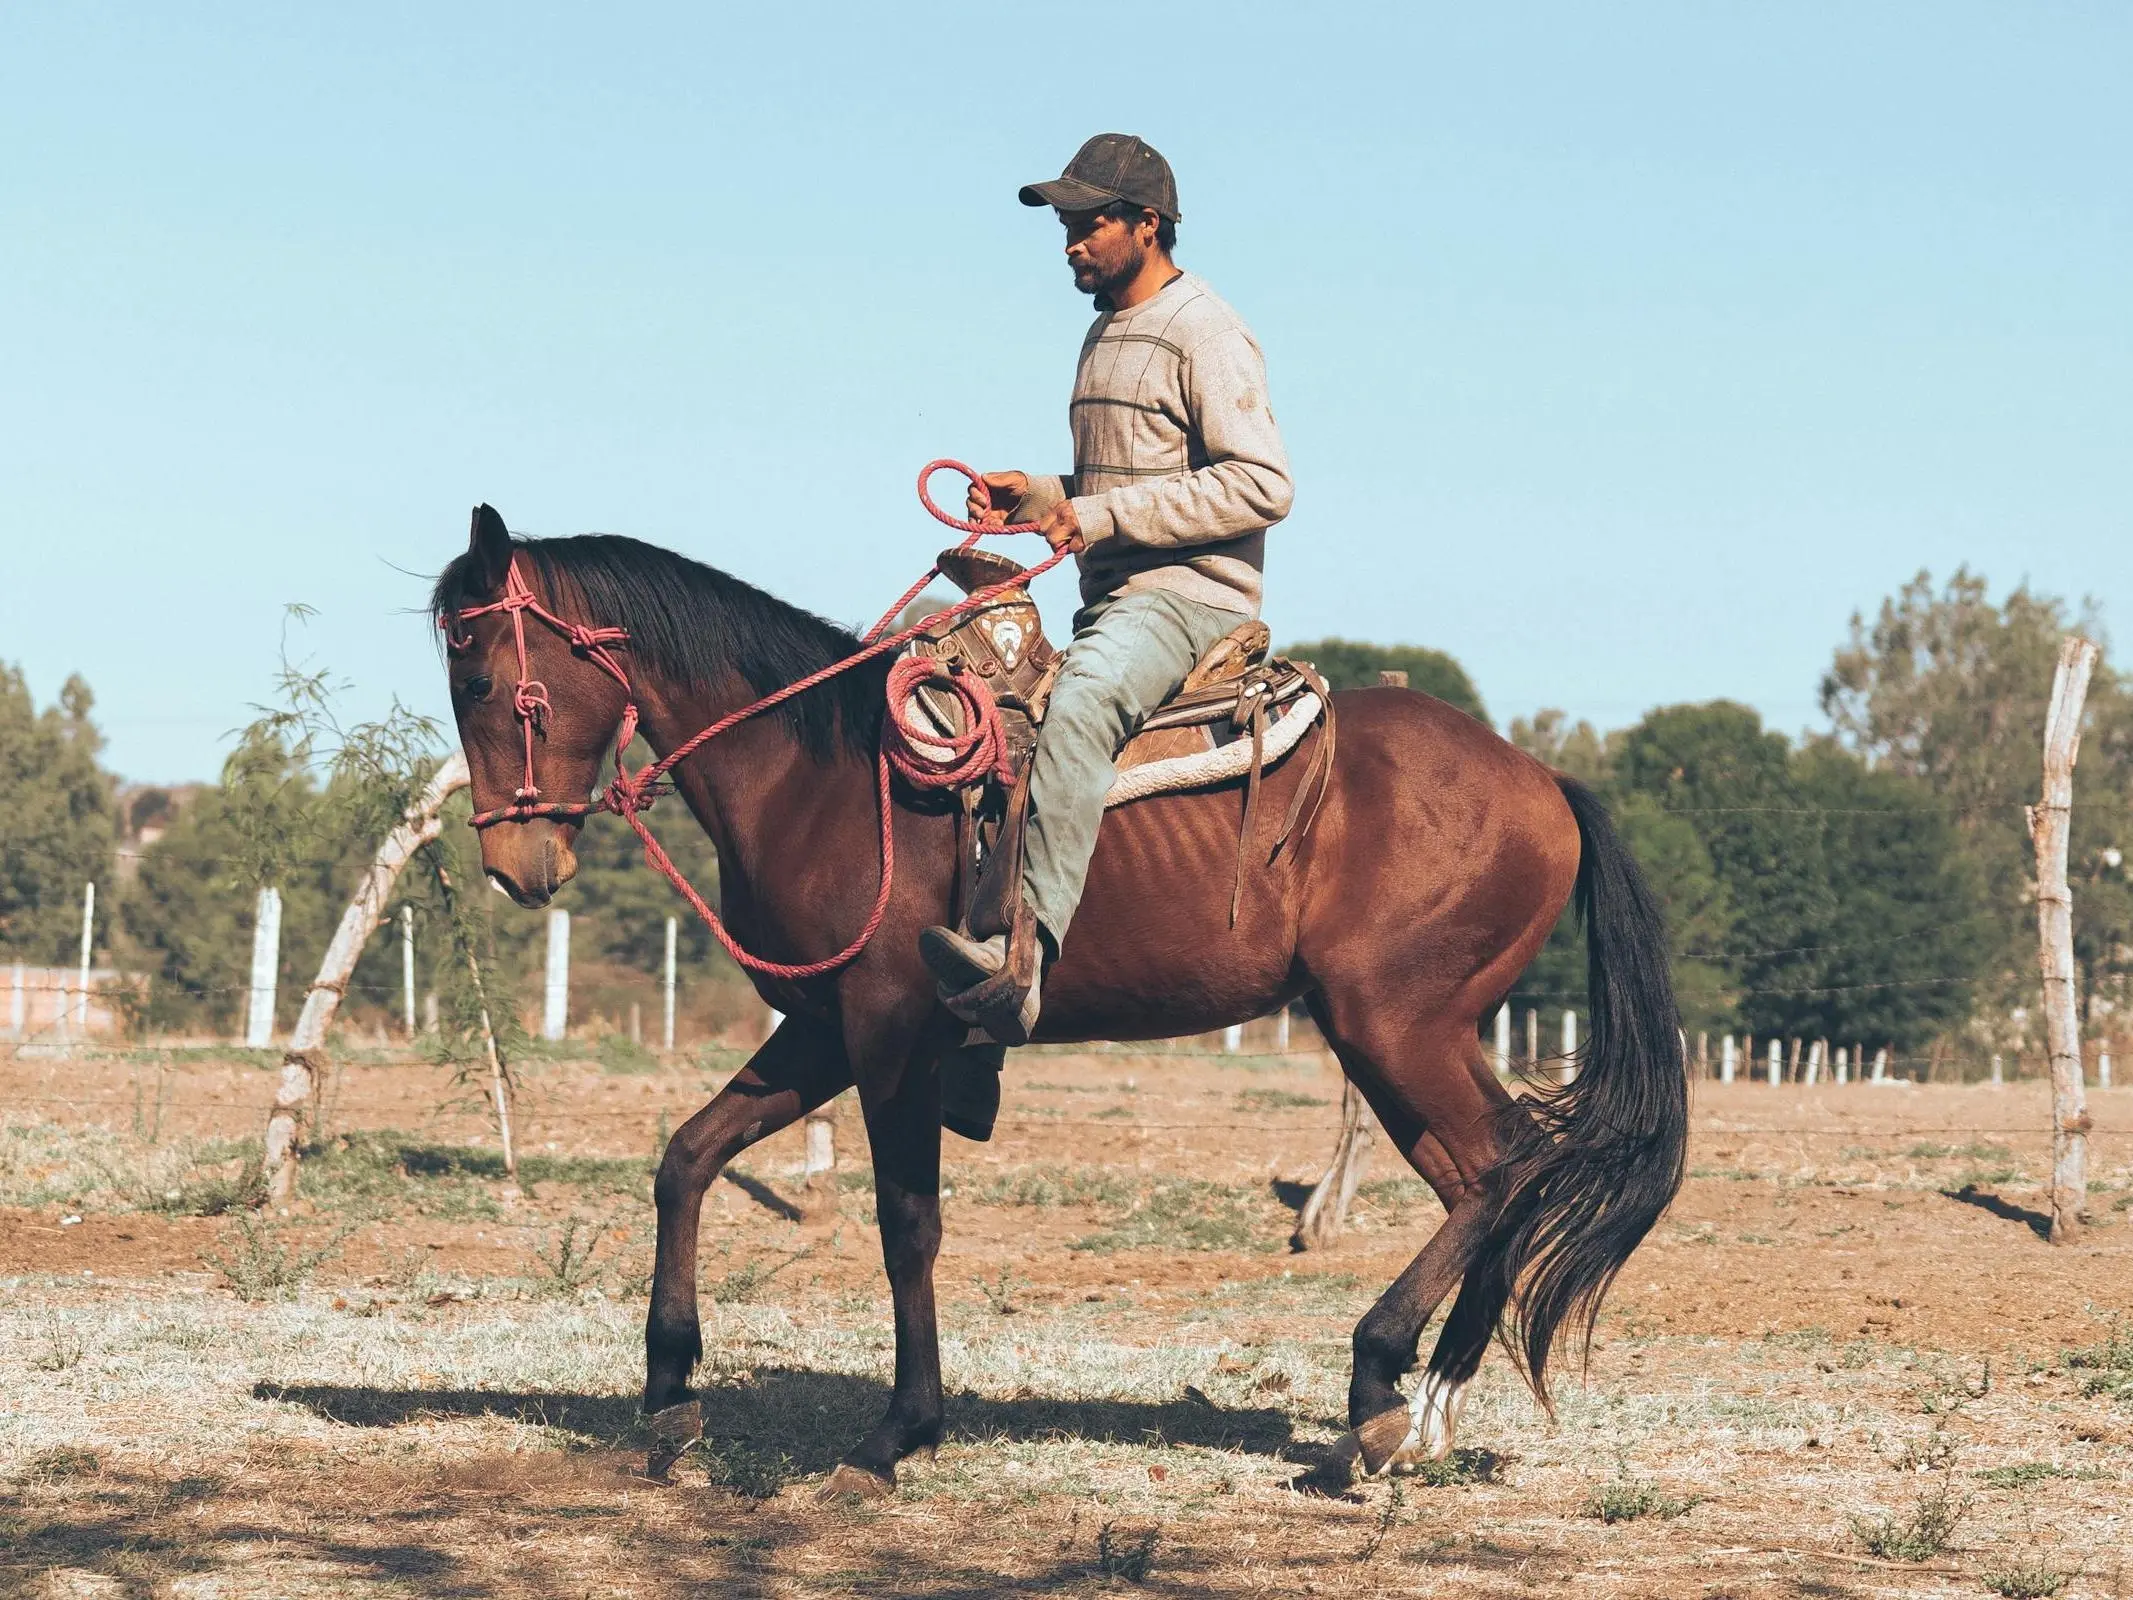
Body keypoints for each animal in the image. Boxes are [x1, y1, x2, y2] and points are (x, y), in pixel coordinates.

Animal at [432, 507, 1689, 1501]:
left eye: (481, 678)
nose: (517, 866)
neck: (823, 774)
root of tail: (1546, 781)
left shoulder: (891, 1029)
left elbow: (906, 1224)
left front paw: (893, 1437)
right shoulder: (826, 1028)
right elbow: (686, 1158)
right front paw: (668, 1397)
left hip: (1396, 1024)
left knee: (1507, 1163)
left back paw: (1387, 1375)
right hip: (1390, 1038)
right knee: (1488, 1177)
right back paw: (1411, 1410)